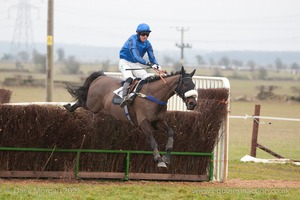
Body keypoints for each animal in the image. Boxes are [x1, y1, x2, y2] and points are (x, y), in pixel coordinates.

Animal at [63, 66, 197, 168]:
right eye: (185, 84)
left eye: (194, 85)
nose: (193, 104)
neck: (154, 95)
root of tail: (100, 77)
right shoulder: (143, 122)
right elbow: (153, 141)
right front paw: (159, 160)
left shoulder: (157, 121)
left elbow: (170, 132)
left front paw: (167, 158)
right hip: (93, 105)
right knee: (81, 101)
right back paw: (69, 106)